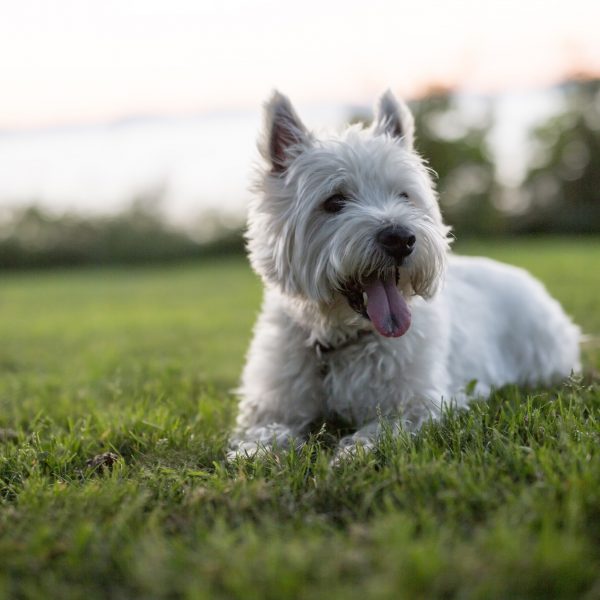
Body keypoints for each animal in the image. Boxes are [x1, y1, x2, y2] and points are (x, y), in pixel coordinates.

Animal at [227, 91, 580, 462]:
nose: (400, 239)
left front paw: (353, 454)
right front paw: (258, 452)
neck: (339, 342)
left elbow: (383, 427)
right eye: (334, 201)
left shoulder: (420, 403)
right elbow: (267, 428)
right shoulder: (273, 403)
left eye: (404, 195)